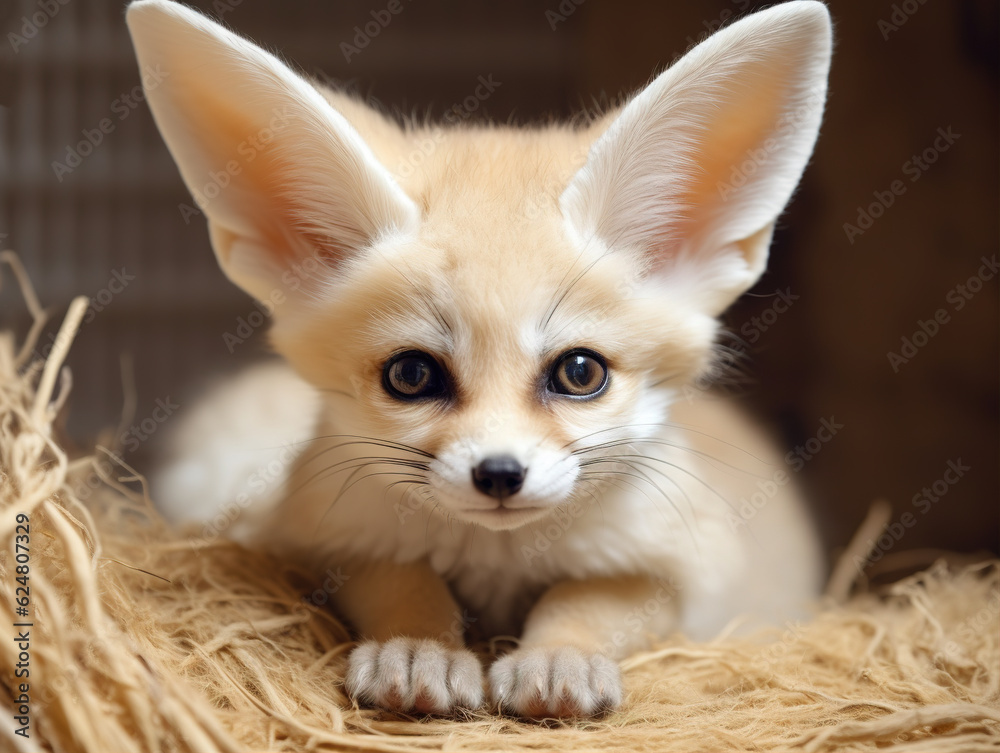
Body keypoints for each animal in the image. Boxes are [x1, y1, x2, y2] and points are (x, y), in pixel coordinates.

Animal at [127, 0, 832, 718]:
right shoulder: (320, 540)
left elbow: (585, 598)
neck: (499, 561)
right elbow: (402, 578)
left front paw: (560, 656)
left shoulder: (683, 571)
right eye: (412, 375)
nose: (499, 473)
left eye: (581, 372)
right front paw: (420, 650)